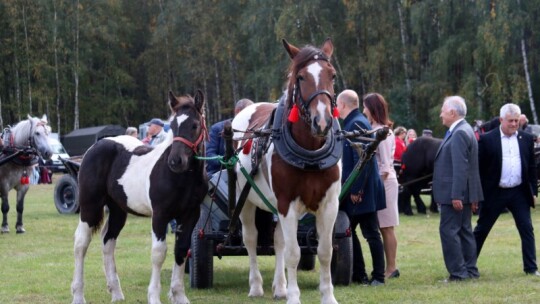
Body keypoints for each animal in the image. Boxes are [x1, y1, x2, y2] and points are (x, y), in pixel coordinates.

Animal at [231, 39, 340, 302]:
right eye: (301, 77)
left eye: (332, 75)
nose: (322, 122)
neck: (310, 153)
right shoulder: (286, 203)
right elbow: (294, 253)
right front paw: (294, 296)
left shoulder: (329, 204)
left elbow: (325, 251)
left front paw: (327, 296)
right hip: (245, 199)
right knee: (251, 239)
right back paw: (256, 286)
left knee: (278, 240)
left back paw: (279, 287)